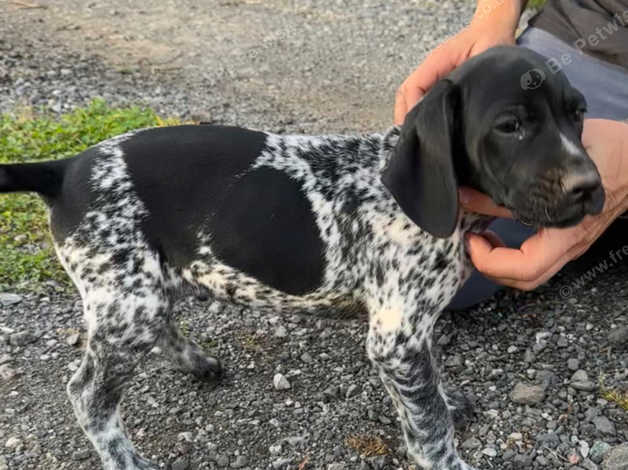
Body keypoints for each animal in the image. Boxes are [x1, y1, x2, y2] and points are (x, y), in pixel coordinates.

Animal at [1, 45, 608, 470]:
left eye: (578, 114)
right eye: (510, 126)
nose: (590, 188)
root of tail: (65, 169)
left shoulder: (406, 338)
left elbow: (424, 396)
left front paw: (443, 398)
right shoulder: (395, 337)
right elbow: (429, 426)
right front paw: (446, 454)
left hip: (145, 288)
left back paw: (196, 361)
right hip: (128, 301)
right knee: (88, 398)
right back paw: (128, 459)